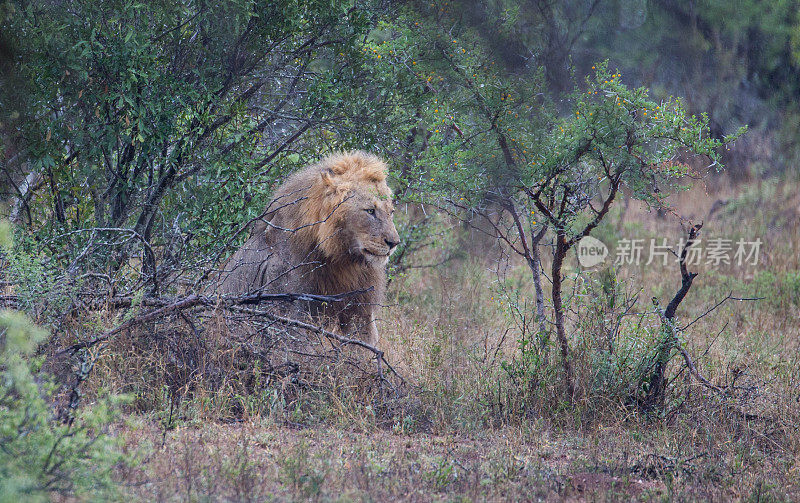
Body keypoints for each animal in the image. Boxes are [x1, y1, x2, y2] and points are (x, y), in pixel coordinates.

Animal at [217, 150, 398, 346]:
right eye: (370, 211)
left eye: (391, 212)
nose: (394, 243)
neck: (342, 261)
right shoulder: (286, 309)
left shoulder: (361, 311)